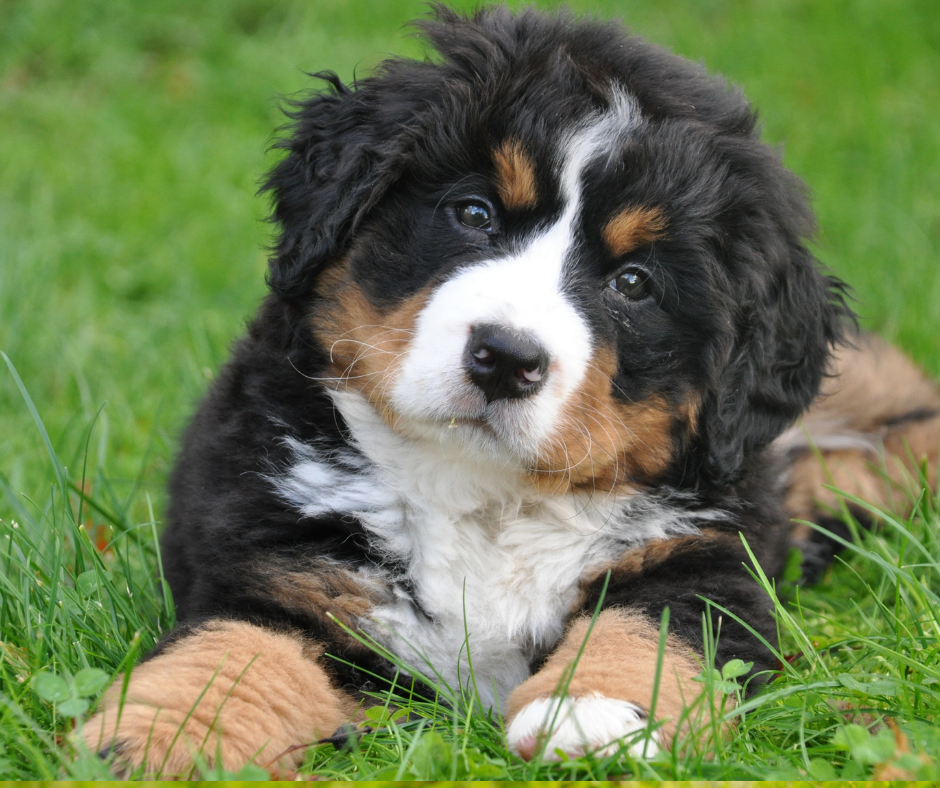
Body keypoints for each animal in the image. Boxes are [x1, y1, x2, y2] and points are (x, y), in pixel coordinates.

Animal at [82, 1, 940, 776]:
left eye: (634, 282)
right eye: (473, 212)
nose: (505, 358)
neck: (486, 496)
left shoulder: (707, 559)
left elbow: (645, 631)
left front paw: (594, 715)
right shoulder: (281, 562)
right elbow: (234, 654)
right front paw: (158, 735)